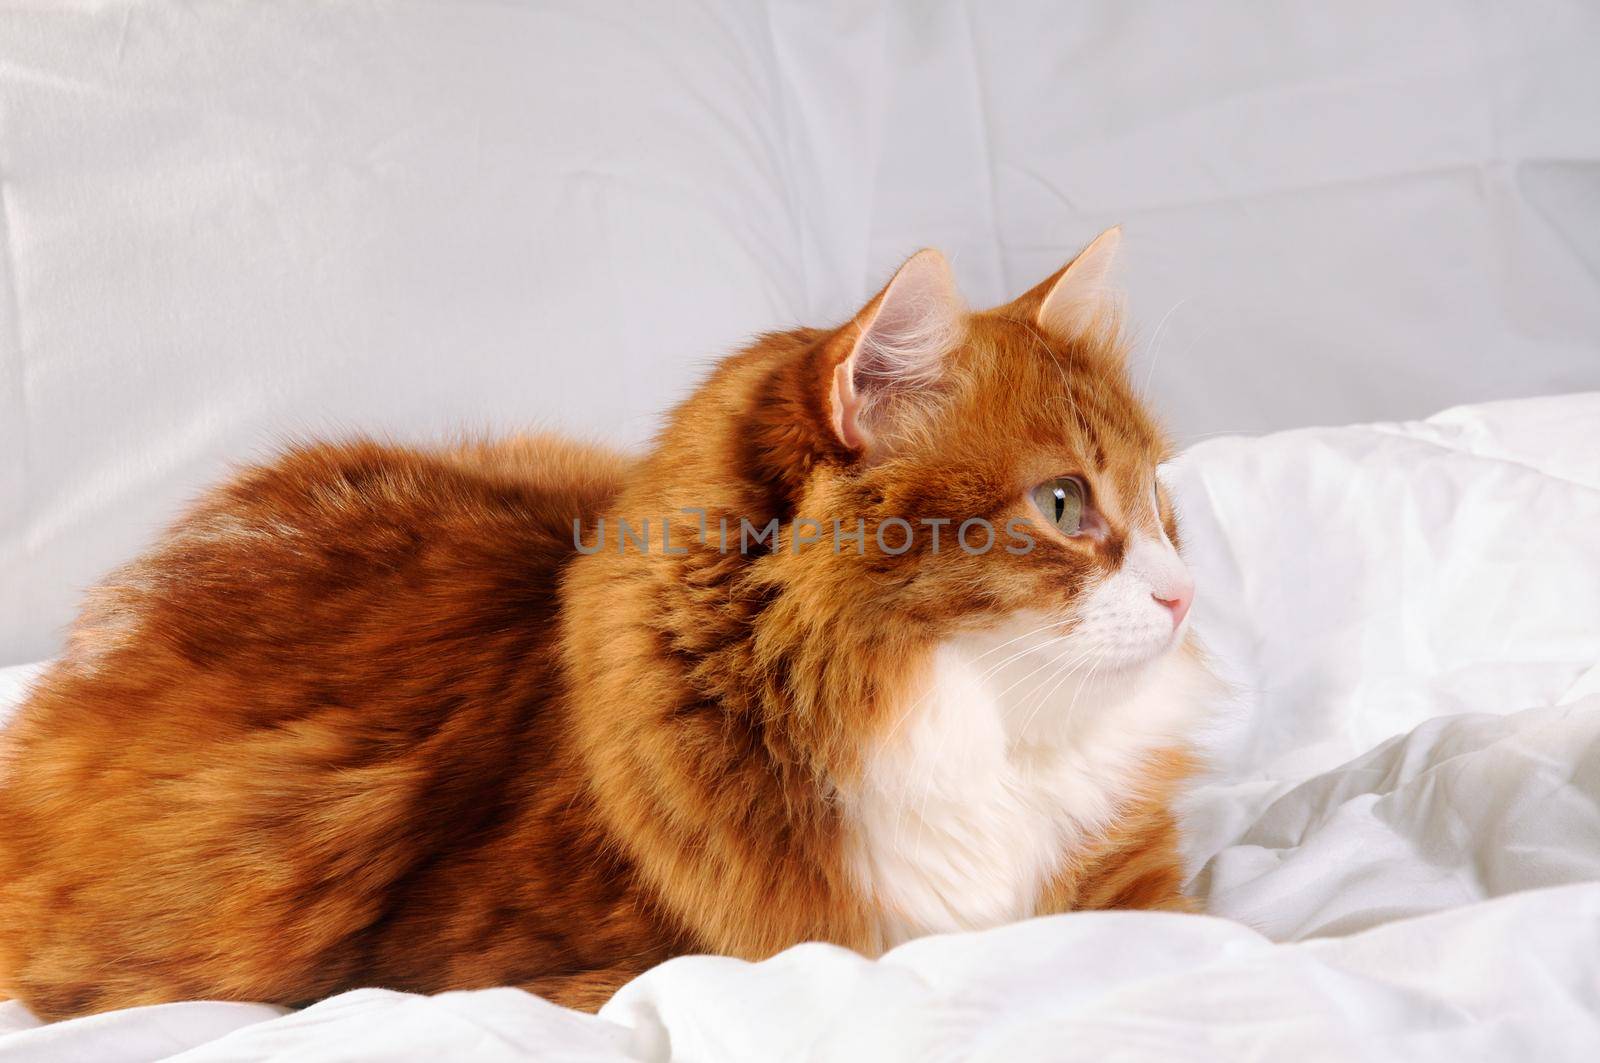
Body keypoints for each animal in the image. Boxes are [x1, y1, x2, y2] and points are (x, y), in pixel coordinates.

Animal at [0, 230, 1209, 1024]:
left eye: (1159, 499)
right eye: (1064, 503)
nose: (1184, 593)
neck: (963, 730)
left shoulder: (1137, 892)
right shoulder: (528, 966)